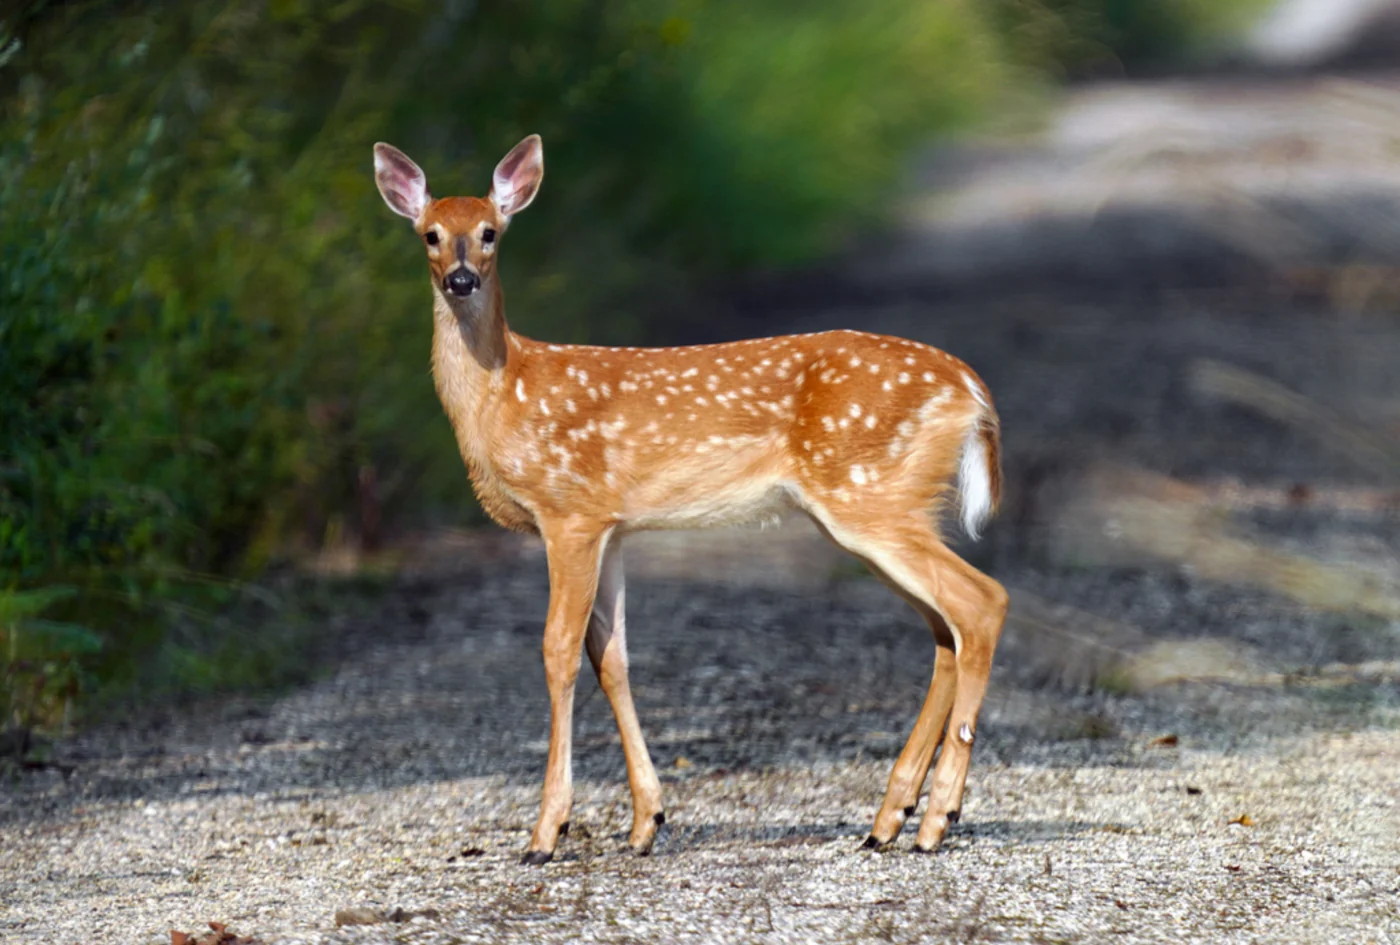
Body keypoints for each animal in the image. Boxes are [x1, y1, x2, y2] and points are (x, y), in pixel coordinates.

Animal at [373, 134, 1009, 865]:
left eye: (489, 233)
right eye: (429, 234)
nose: (460, 280)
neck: (502, 392)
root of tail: (971, 389)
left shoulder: (570, 511)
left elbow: (558, 650)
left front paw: (545, 833)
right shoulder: (613, 526)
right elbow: (612, 657)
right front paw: (646, 821)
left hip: (870, 496)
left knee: (982, 602)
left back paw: (937, 818)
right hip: (884, 506)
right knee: (944, 630)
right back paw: (890, 818)